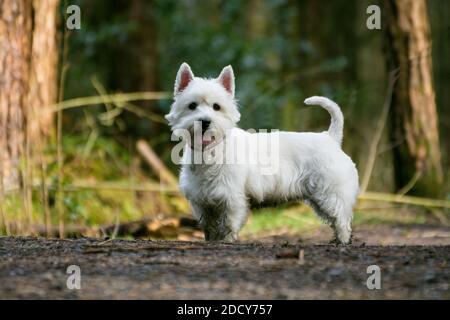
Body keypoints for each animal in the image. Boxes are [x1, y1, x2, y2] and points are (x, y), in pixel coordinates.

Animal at [165, 62, 358, 242]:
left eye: (216, 107)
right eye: (192, 105)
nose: (204, 121)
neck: (209, 152)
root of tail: (331, 138)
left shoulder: (231, 198)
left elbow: (228, 224)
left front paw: (227, 241)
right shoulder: (202, 202)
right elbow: (208, 227)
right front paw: (212, 241)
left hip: (331, 191)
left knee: (341, 218)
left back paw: (342, 240)